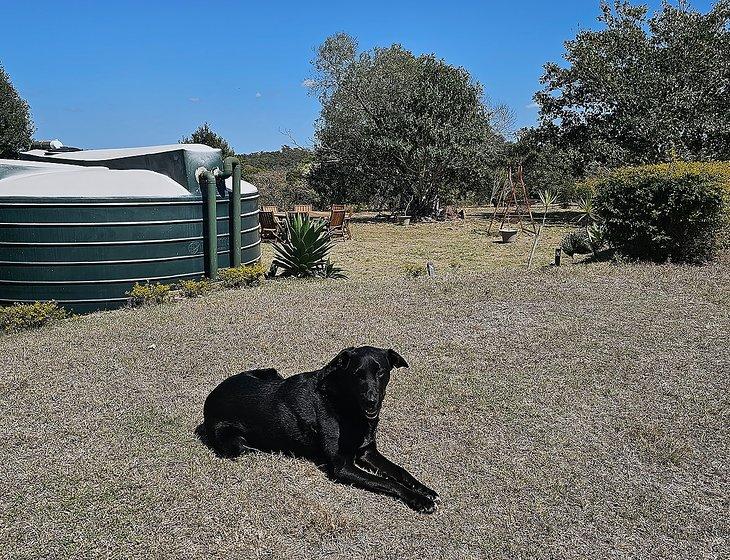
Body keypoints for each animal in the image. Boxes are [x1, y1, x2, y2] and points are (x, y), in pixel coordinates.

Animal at [195, 348, 438, 516]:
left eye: (381, 372)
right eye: (357, 374)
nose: (372, 402)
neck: (344, 402)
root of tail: (210, 397)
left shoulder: (367, 452)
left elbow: (399, 471)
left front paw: (424, 489)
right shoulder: (342, 467)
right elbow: (389, 482)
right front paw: (420, 500)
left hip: (271, 372)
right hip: (233, 444)